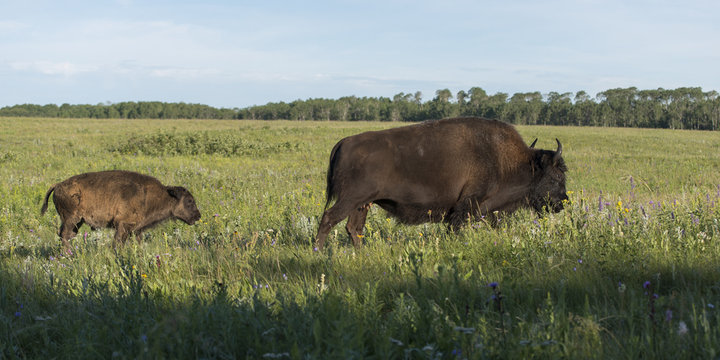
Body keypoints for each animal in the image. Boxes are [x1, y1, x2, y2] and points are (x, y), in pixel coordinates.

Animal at [40, 170, 201, 249]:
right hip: (71, 219)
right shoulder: (123, 225)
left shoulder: (136, 229)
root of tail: (58, 185)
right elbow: (118, 243)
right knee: (64, 235)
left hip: (75, 222)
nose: (198, 216)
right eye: (189, 201)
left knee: (67, 235)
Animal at [316, 116, 568, 249]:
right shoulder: (467, 205)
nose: (563, 202)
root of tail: (344, 142)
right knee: (329, 218)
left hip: (362, 203)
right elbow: (455, 228)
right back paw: (318, 252)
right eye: (557, 176)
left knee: (354, 228)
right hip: (351, 199)